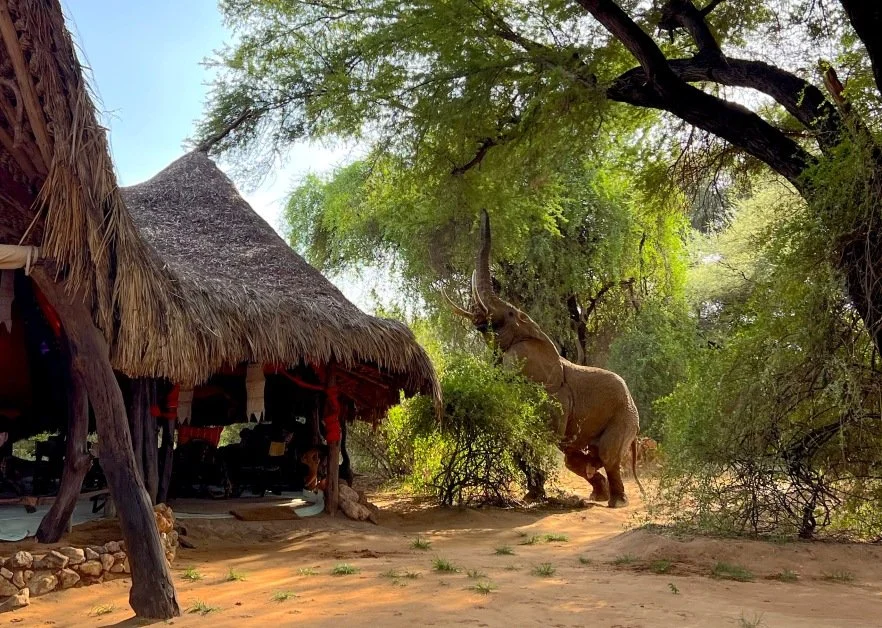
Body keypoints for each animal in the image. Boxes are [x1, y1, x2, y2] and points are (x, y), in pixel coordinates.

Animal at [445, 210, 643, 508]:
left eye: (511, 315)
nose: (483, 211)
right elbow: (518, 439)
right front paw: (532, 496)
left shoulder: (554, 396)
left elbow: (538, 436)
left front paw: (535, 496)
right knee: (576, 457)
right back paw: (596, 492)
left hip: (625, 415)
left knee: (606, 454)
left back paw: (616, 501)